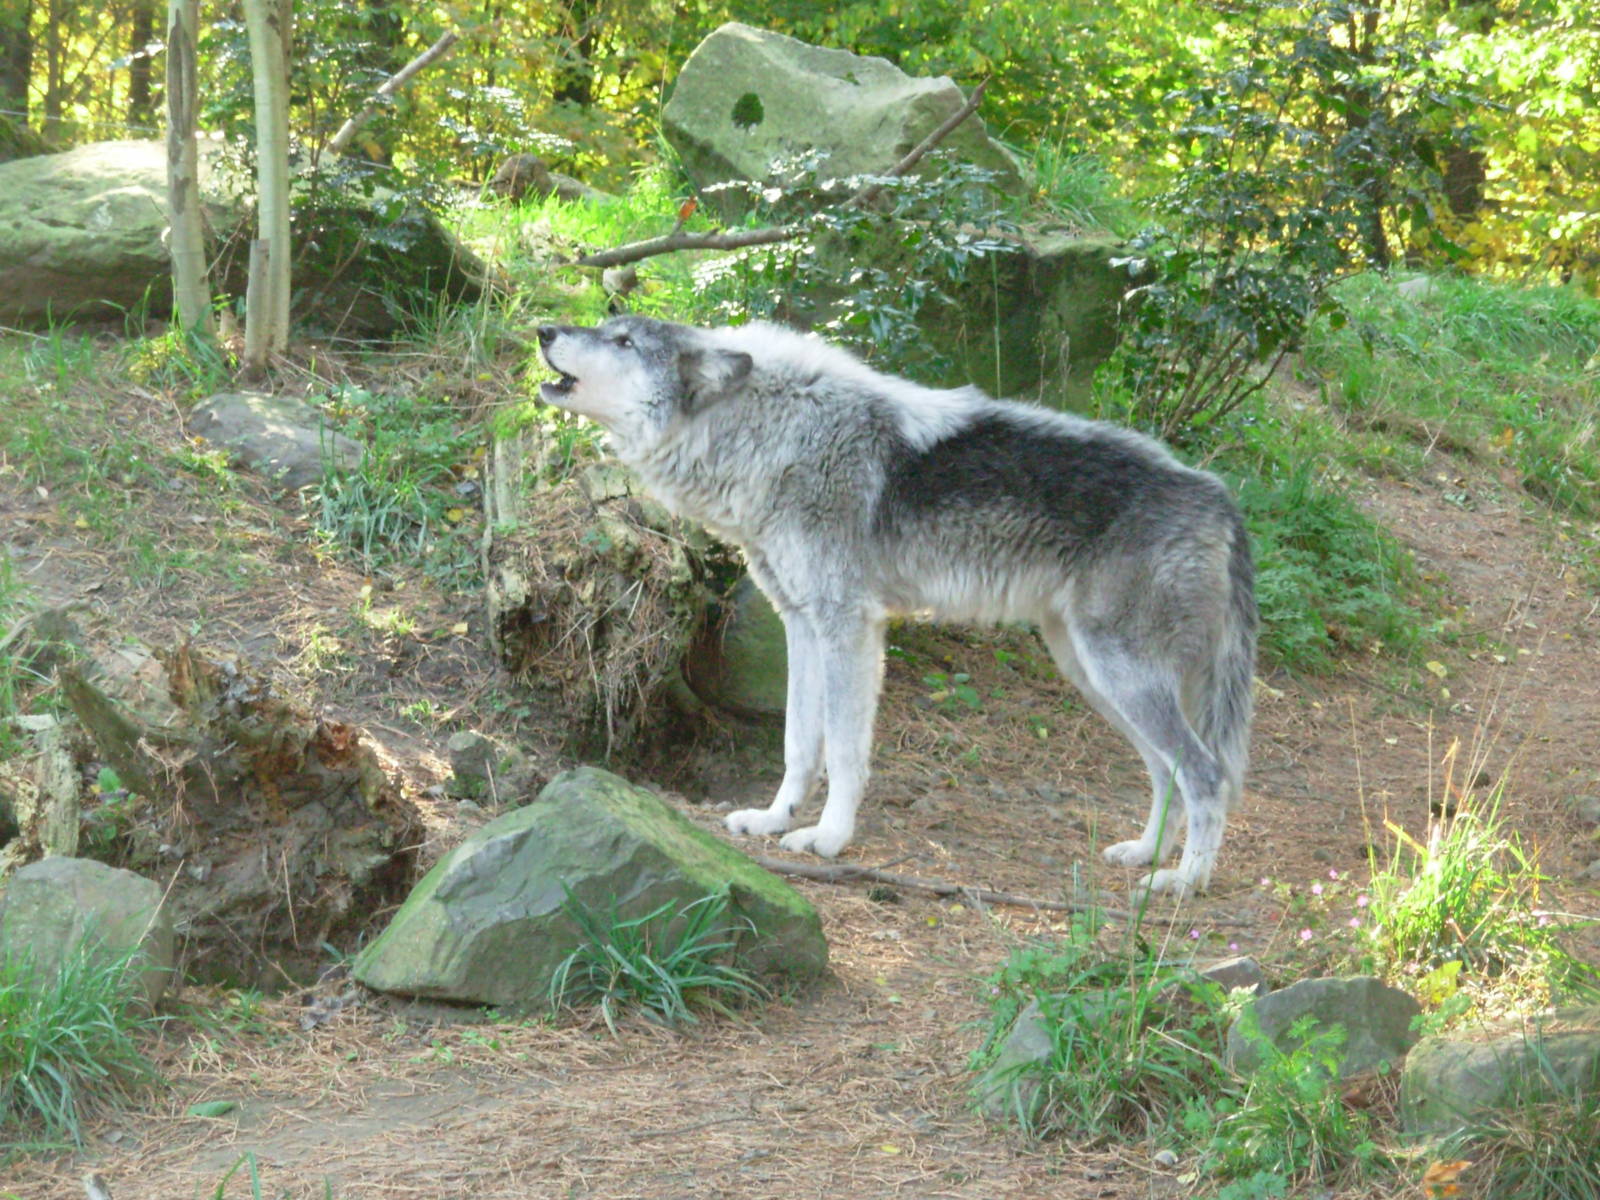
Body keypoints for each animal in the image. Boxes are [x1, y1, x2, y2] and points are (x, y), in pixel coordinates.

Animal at [535, 315, 1257, 895]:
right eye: (607, 324)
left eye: (625, 342)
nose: (543, 329)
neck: (773, 433)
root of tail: (1217, 494)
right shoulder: (801, 625)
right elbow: (799, 745)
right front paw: (773, 820)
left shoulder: (848, 627)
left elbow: (845, 751)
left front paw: (828, 840)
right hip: (1092, 673)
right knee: (1166, 771)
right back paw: (1145, 854)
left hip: (1120, 673)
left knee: (1205, 773)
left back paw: (1184, 882)